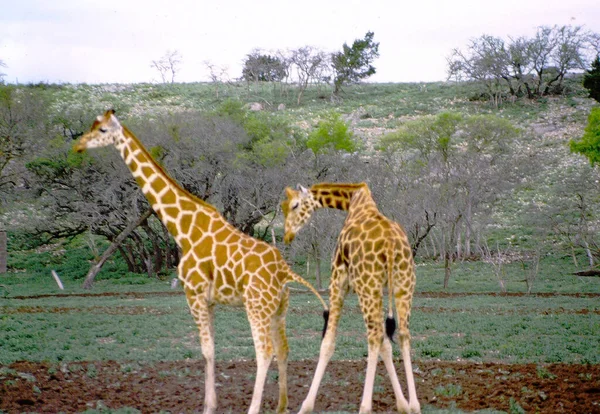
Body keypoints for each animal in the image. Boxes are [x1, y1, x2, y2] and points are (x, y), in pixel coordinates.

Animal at [76, 110, 328, 414]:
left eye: (101, 130)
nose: (79, 145)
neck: (183, 228)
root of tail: (285, 271)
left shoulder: (193, 293)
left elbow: (206, 350)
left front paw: (208, 406)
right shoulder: (209, 300)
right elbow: (213, 349)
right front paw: (212, 403)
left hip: (256, 306)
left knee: (264, 350)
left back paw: (254, 408)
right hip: (278, 308)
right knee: (283, 348)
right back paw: (282, 407)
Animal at [282, 182, 420, 414]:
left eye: (295, 205)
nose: (287, 234)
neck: (354, 200)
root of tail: (391, 243)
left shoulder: (338, 280)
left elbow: (327, 342)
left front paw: (305, 406)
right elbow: (387, 344)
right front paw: (403, 404)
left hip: (367, 286)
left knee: (374, 336)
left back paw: (365, 406)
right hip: (403, 284)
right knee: (402, 334)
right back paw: (415, 405)